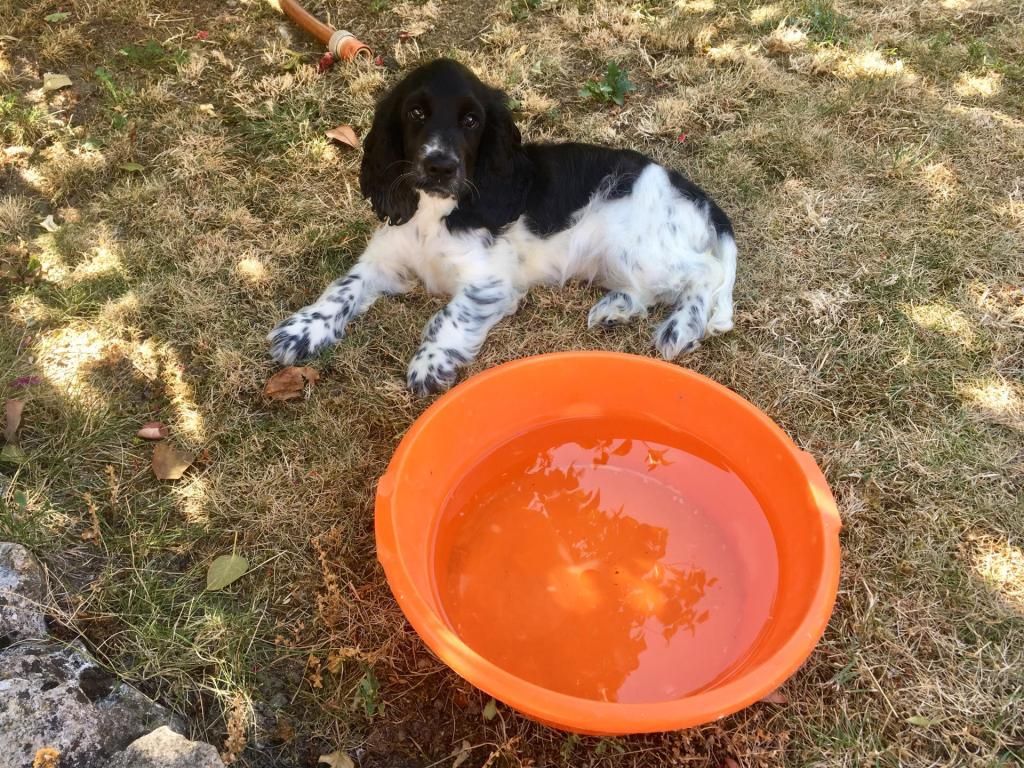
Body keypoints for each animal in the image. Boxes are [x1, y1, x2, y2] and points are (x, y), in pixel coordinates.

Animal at [268, 60, 737, 397]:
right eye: (415, 113)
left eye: (471, 121)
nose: (440, 166)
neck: (437, 211)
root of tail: (692, 191)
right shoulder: (384, 257)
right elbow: (343, 287)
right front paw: (302, 331)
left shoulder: (490, 282)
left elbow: (448, 315)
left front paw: (429, 364)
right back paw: (616, 309)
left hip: (637, 246)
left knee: (705, 271)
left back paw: (682, 328)